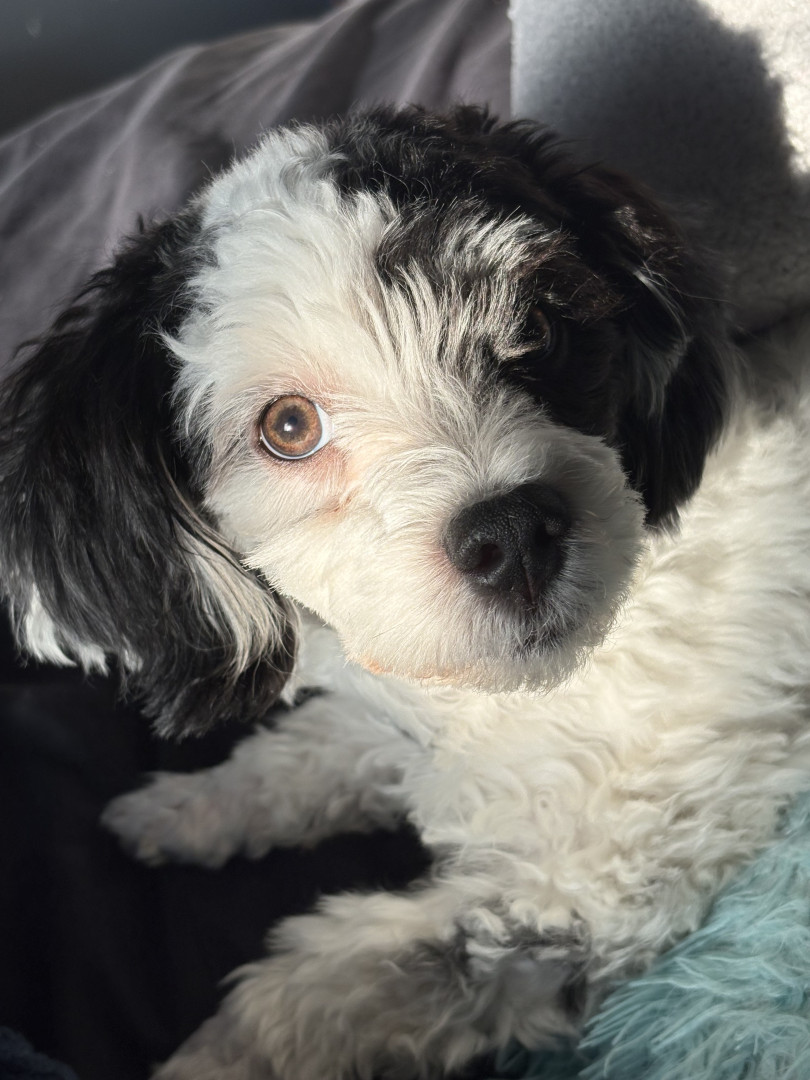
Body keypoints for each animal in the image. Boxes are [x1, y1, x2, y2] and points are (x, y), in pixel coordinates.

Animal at [3, 105, 810, 1080]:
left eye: (541, 327)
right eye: (288, 426)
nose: (513, 532)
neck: (499, 702)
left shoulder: (573, 889)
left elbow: (314, 990)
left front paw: (209, 1061)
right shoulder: (393, 701)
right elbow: (306, 752)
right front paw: (185, 809)